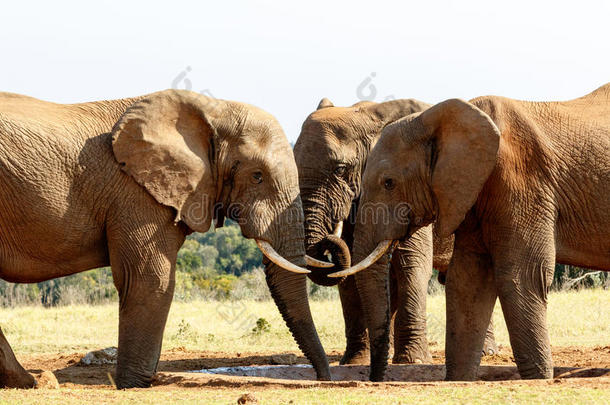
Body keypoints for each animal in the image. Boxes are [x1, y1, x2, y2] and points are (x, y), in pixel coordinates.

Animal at [0, 89, 332, 388]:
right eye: (257, 176)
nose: (322, 378)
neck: (213, 109)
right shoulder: (137, 194)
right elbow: (149, 279)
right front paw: (134, 385)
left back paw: (30, 382)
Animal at [292, 97, 496, 362]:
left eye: (340, 169)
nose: (327, 242)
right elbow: (354, 268)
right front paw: (356, 360)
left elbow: (411, 262)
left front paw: (412, 360)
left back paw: (486, 352)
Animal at [332, 83, 608, 380]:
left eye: (389, 183)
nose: (374, 377)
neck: (434, 118)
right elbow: (467, 278)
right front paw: (458, 379)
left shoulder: (523, 181)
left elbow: (521, 274)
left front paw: (539, 379)